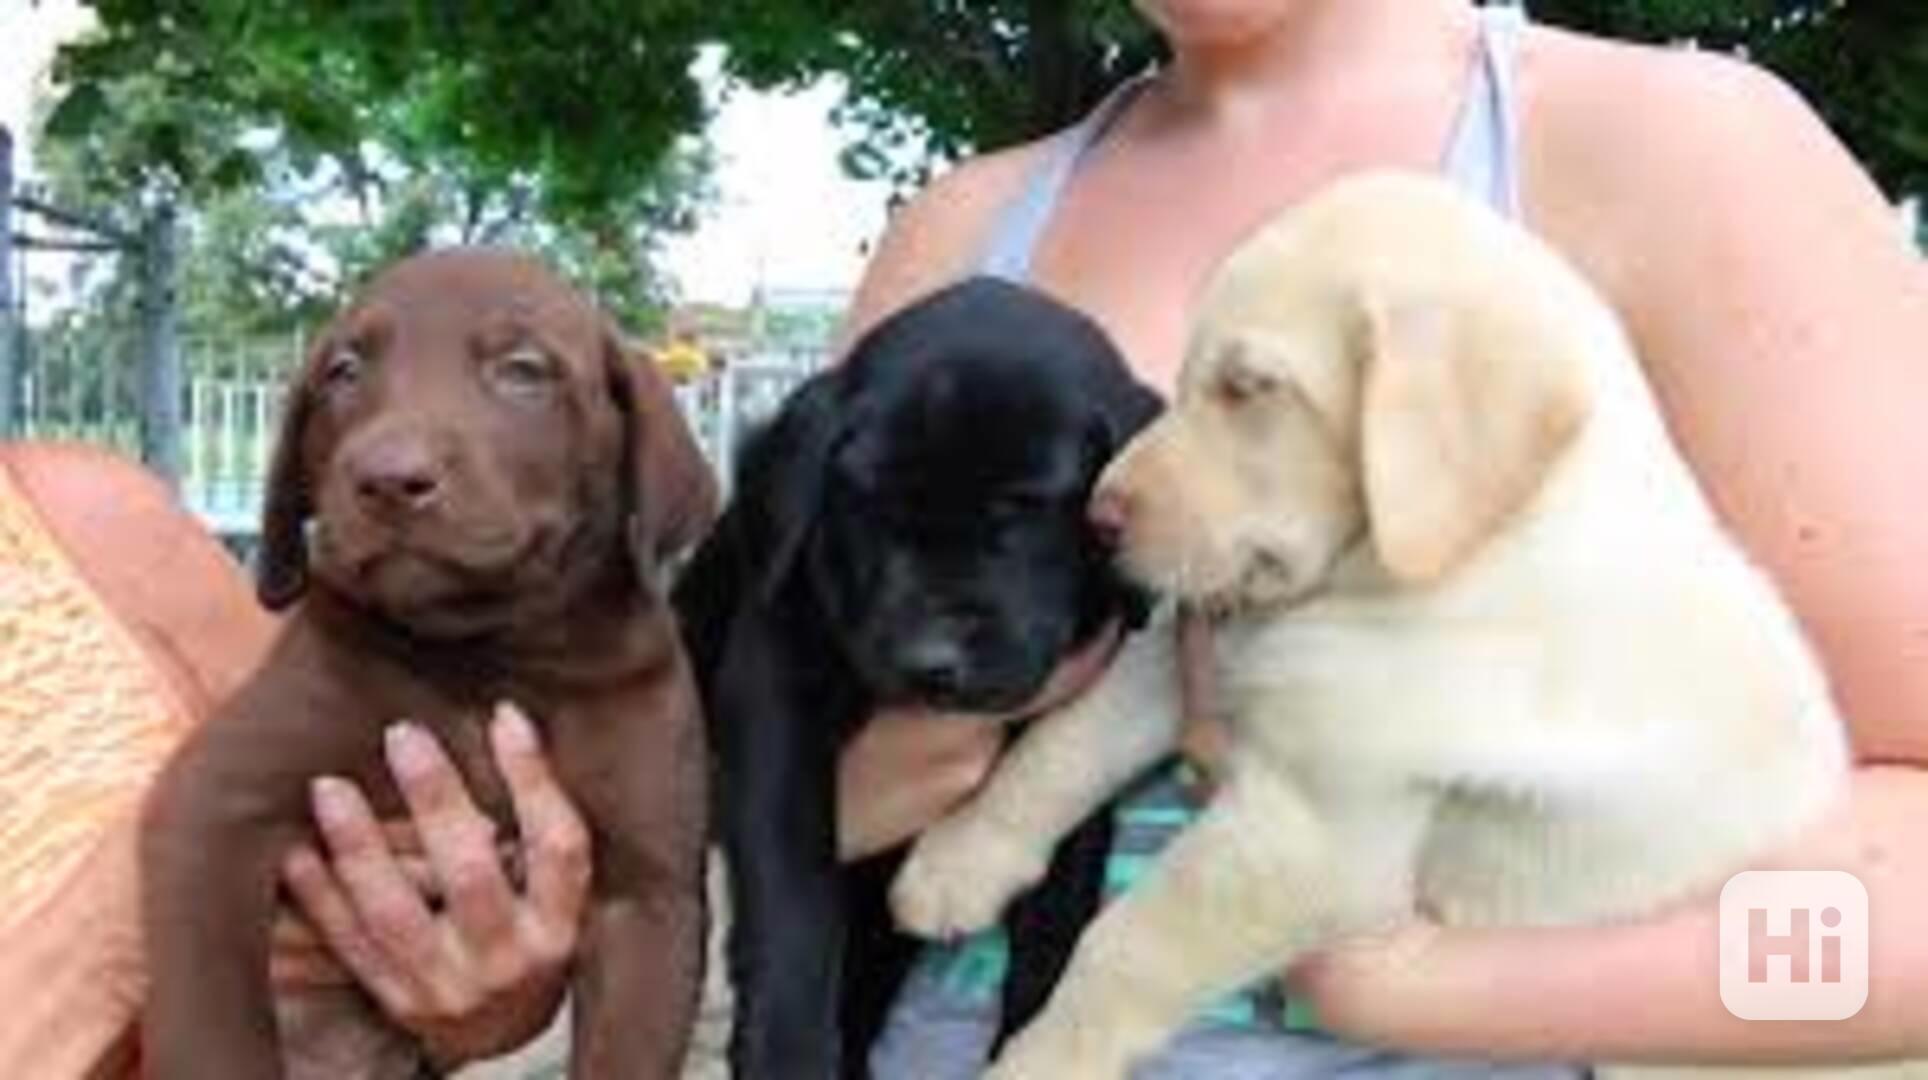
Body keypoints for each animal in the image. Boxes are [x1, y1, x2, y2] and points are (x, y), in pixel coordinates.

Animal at [678, 279, 1156, 1080]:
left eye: (1024, 510)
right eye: (873, 507)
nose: (930, 662)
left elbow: (1057, 920)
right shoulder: (775, 691)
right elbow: (793, 887)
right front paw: (785, 1051)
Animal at [886, 172, 1850, 1072]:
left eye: (1250, 387)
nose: (1100, 516)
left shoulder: (1308, 837)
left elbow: (1126, 947)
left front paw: (1038, 1062)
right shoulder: (1199, 650)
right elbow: (1063, 750)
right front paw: (957, 860)